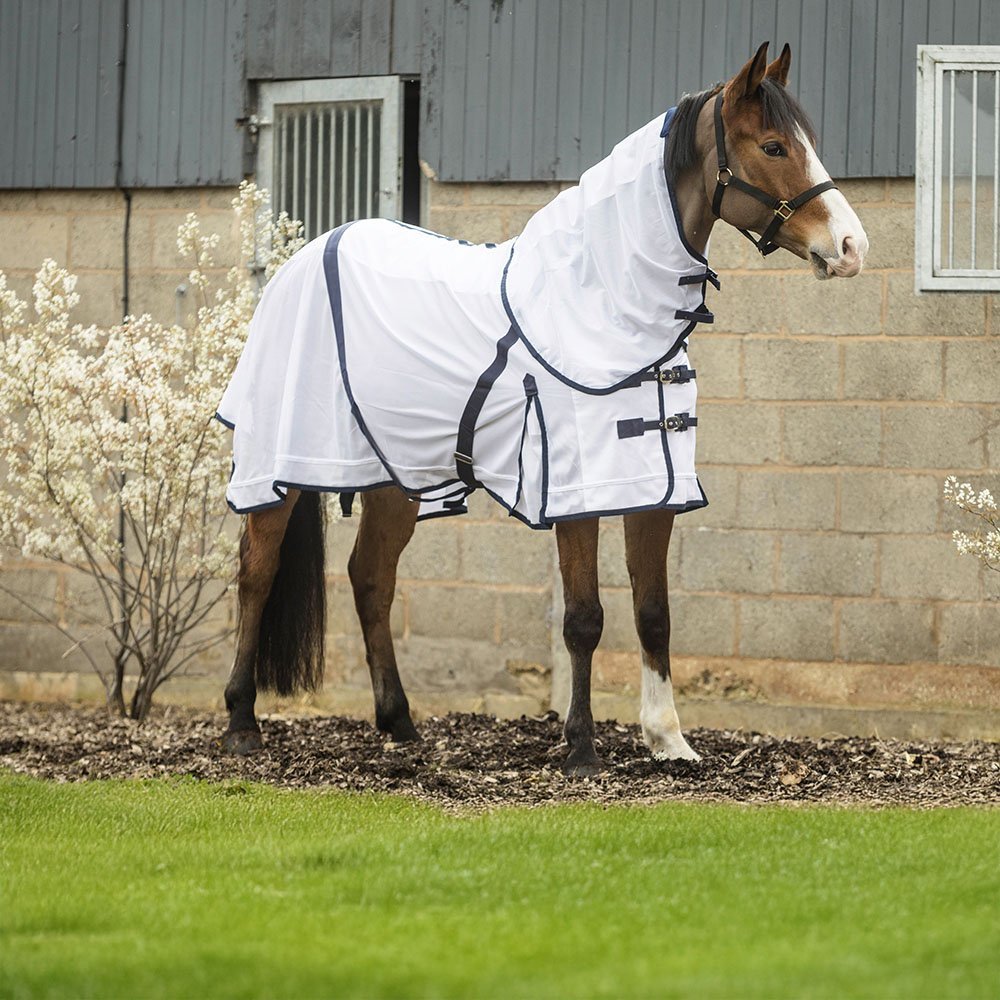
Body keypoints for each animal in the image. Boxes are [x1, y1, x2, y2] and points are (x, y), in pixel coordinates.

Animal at [218, 42, 868, 776]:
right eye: (773, 145)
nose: (852, 247)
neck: (602, 302)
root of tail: (303, 256)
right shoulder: (577, 490)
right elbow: (584, 617)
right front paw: (581, 746)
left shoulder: (654, 486)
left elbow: (654, 611)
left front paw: (669, 740)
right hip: (283, 462)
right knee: (257, 572)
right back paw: (242, 723)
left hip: (397, 476)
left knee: (371, 579)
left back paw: (401, 725)